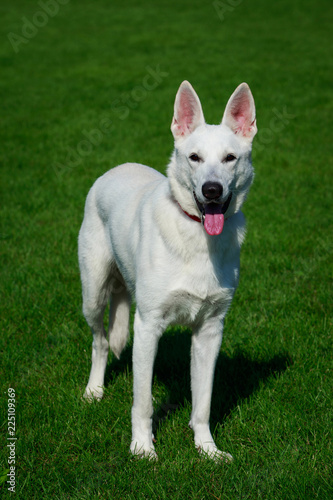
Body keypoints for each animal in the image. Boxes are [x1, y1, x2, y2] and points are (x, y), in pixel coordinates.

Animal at [78, 81, 256, 460]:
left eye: (230, 158)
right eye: (195, 158)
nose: (212, 190)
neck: (198, 237)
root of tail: (117, 167)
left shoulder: (210, 331)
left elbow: (203, 403)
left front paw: (207, 450)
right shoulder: (148, 326)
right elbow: (142, 402)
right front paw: (142, 448)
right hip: (93, 294)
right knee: (100, 342)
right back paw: (94, 391)